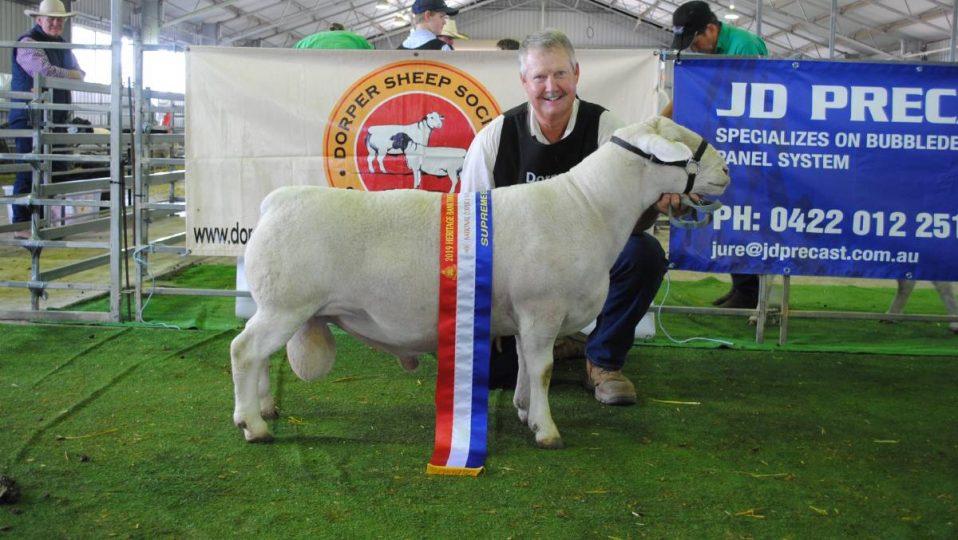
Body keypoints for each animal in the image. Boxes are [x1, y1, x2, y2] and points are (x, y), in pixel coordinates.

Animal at [230, 116, 730, 449]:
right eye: (683, 143)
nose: (726, 172)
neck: (587, 205)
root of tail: (276, 201)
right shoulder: (542, 307)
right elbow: (544, 368)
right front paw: (547, 431)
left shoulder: (529, 317)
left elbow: (529, 366)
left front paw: (526, 411)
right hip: (285, 304)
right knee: (244, 351)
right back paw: (255, 425)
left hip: (277, 305)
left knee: (257, 354)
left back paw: (261, 408)